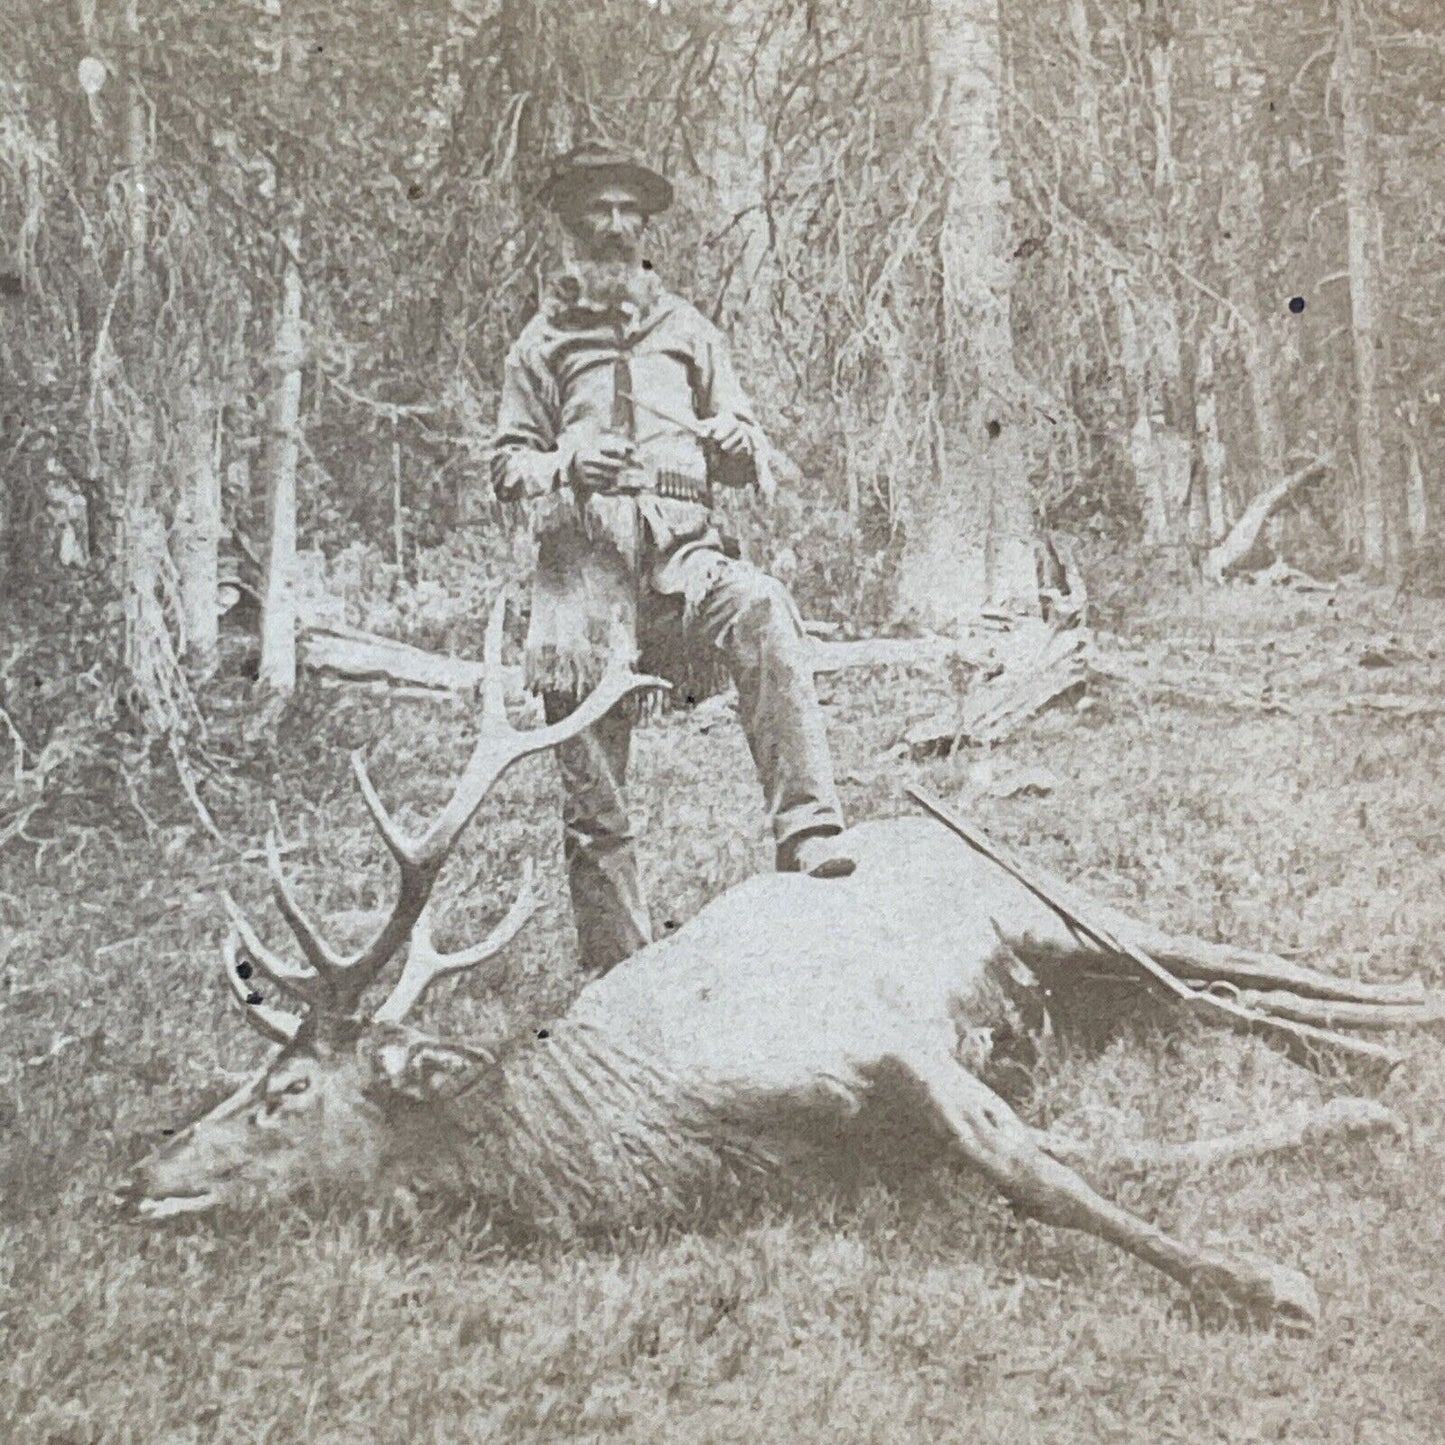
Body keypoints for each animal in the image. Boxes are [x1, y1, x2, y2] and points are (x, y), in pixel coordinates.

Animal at [115, 595, 1421, 1329]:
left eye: (285, 1089)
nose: (134, 1177)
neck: (659, 1131)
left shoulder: (879, 1039)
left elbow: (1034, 1172)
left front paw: (1264, 1281)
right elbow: (1074, 1154)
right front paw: (1339, 1124)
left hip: (1044, 907)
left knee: (1237, 955)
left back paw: (1405, 1005)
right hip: (1075, 974)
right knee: (1225, 995)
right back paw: (1366, 1057)